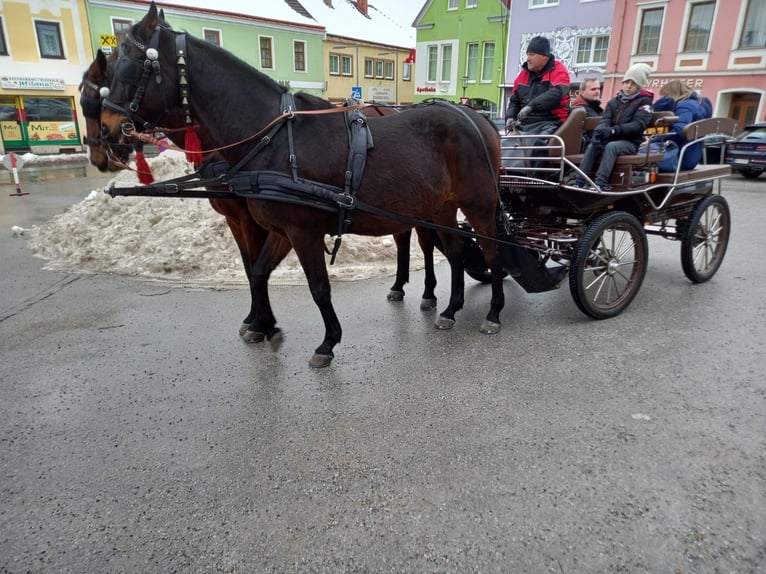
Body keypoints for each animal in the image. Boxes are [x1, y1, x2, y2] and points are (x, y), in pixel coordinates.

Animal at [102, 1, 508, 368]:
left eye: (130, 67)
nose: (108, 130)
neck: (274, 139)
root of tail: (477, 117)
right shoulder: (281, 229)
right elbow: (259, 271)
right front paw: (265, 325)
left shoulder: (303, 232)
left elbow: (318, 287)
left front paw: (327, 341)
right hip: (442, 208)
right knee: (455, 253)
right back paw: (451, 309)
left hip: (479, 204)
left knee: (492, 254)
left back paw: (493, 312)